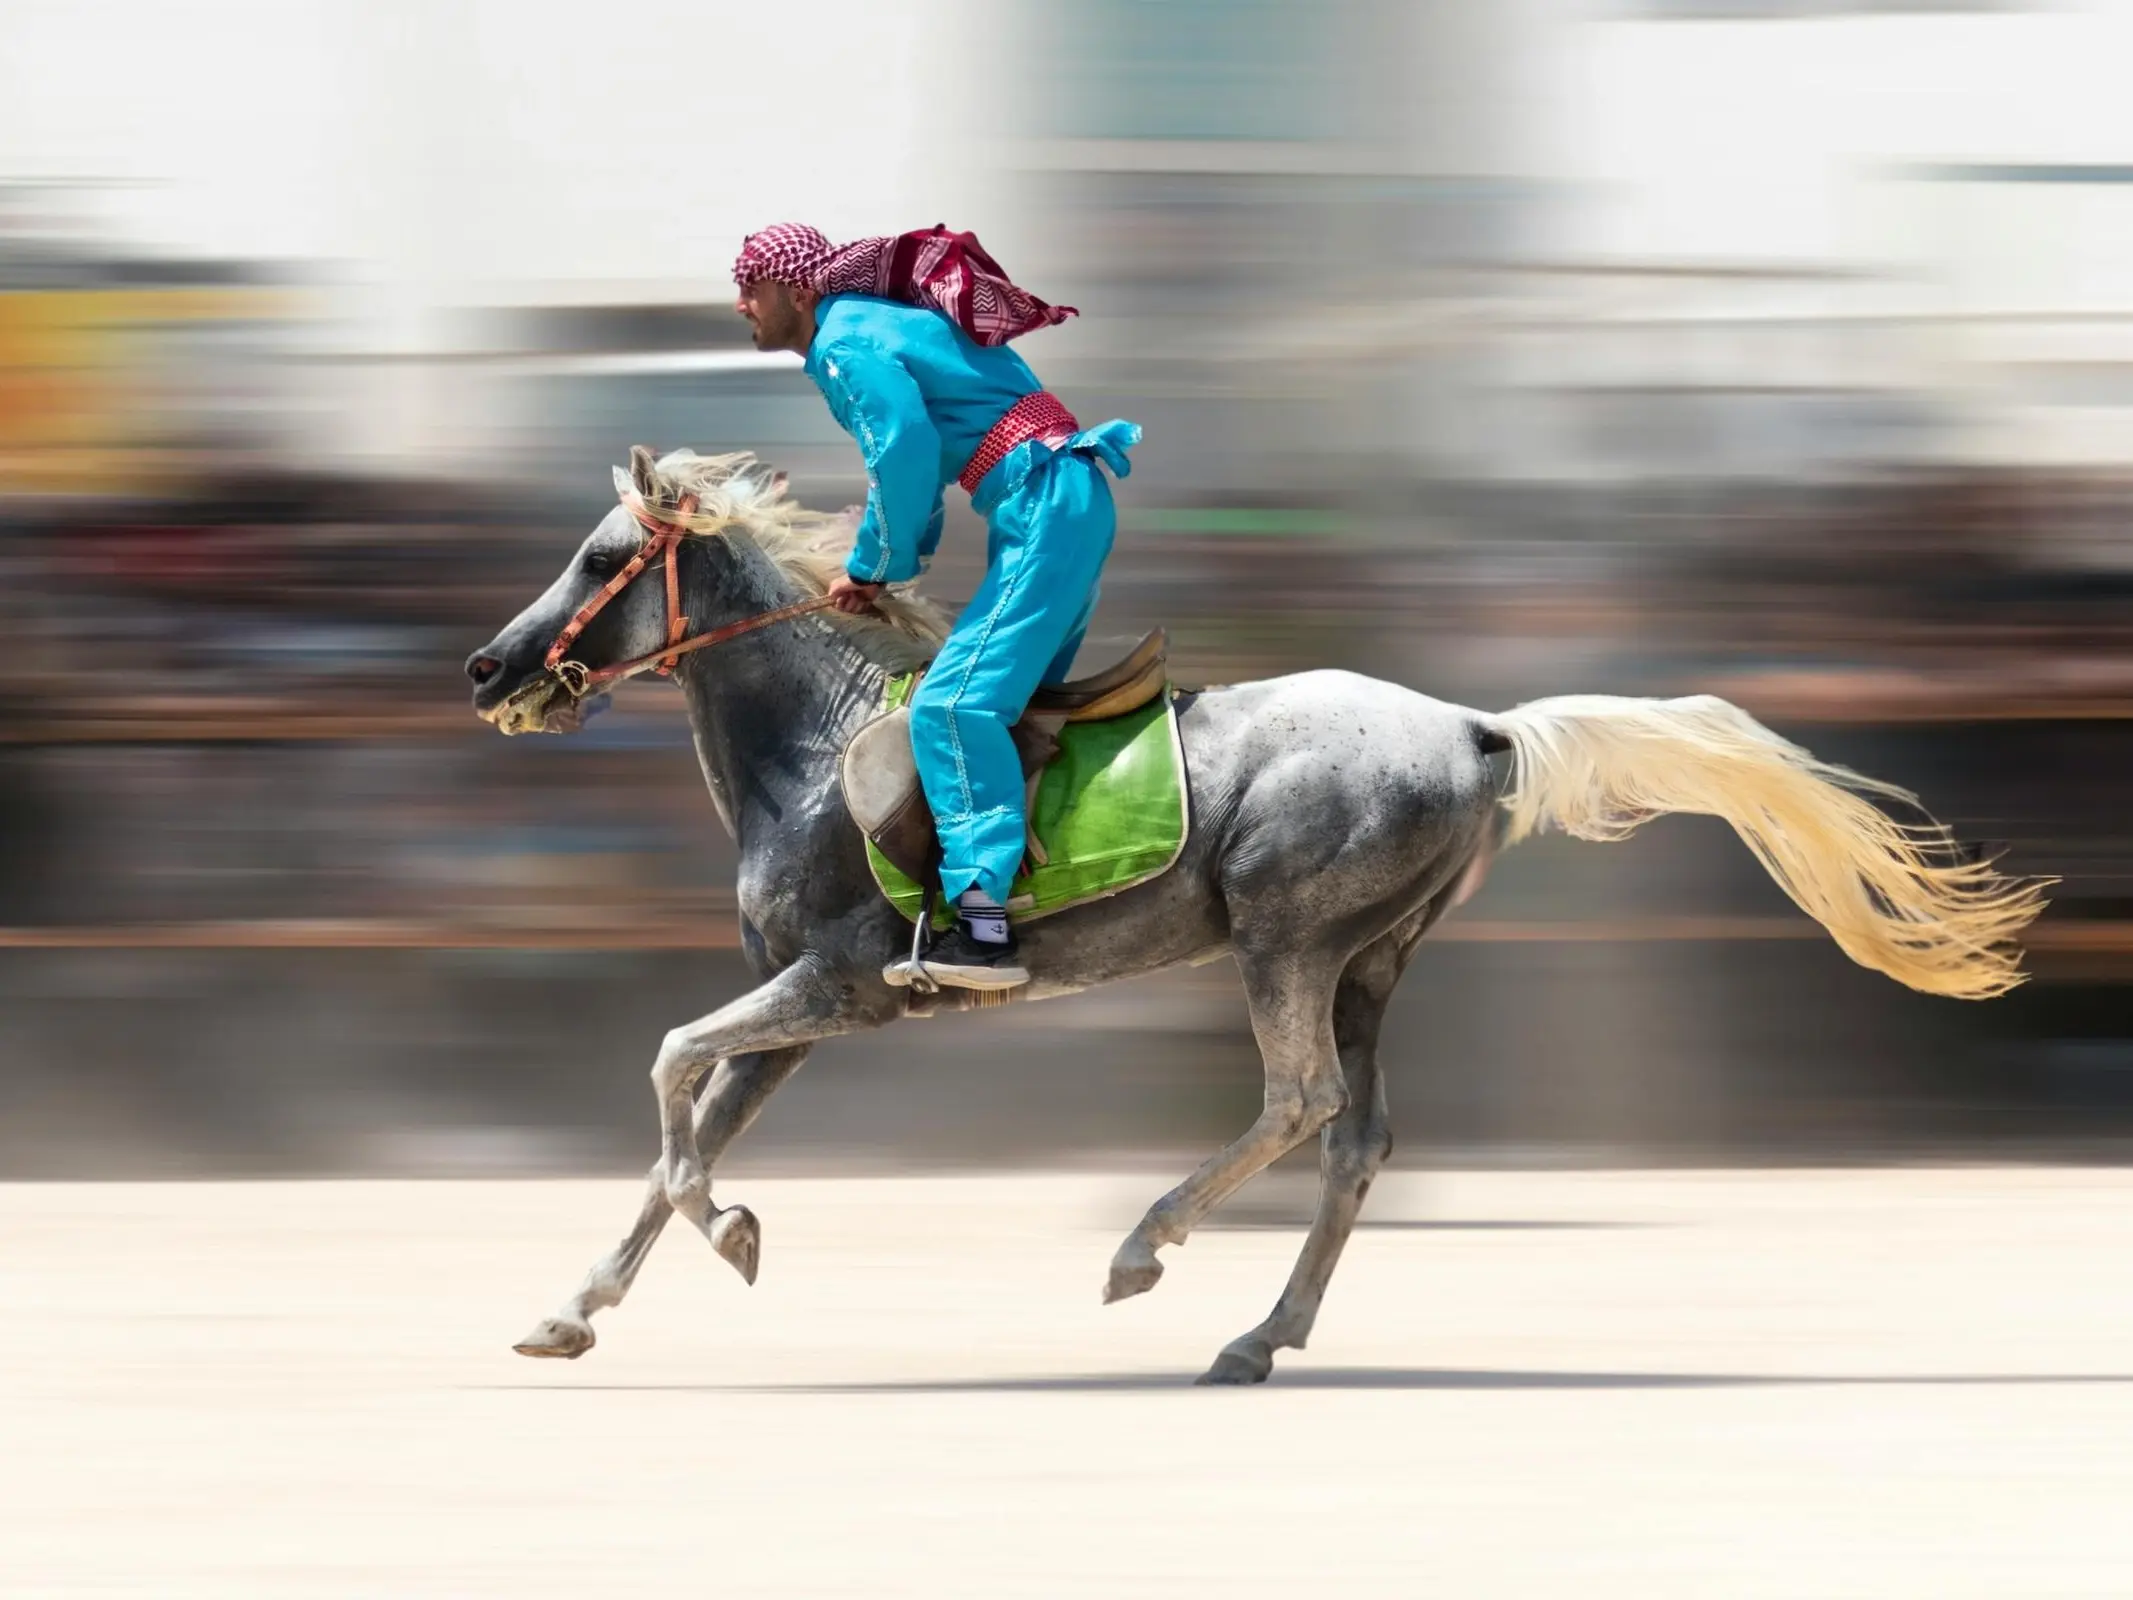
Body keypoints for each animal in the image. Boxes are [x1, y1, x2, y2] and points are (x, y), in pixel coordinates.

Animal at [464, 447, 2046, 1385]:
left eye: (599, 558)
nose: (488, 669)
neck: (810, 749)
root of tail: (1472, 724)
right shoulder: (797, 1016)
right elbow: (678, 1130)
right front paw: (573, 1308)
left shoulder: (842, 990)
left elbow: (668, 1066)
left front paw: (729, 1232)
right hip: (1371, 959)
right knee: (1356, 1140)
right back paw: (1258, 1334)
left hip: (1287, 938)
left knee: (1297, 1103)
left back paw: (1145, 1251)